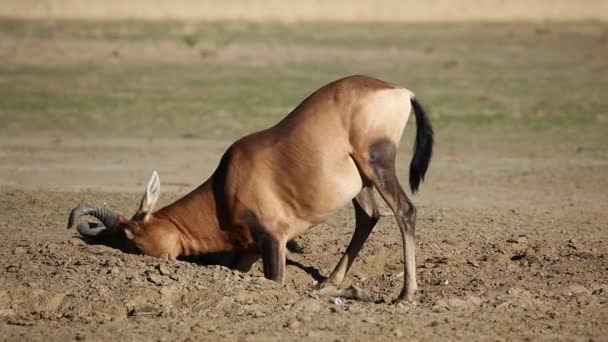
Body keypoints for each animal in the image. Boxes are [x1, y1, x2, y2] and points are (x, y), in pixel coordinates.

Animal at [69, 75, 432, 302]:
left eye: (132, 239)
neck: (224, 186)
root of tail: (400, 92)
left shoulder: (273, 239)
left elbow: (277, 283)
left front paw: (353, 292)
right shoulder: (248, 251)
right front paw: (345, 290)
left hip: (377, 162)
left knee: (405, 210)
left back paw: (405, 295)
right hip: (360, 181)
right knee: (369, 217)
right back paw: (331, 280)